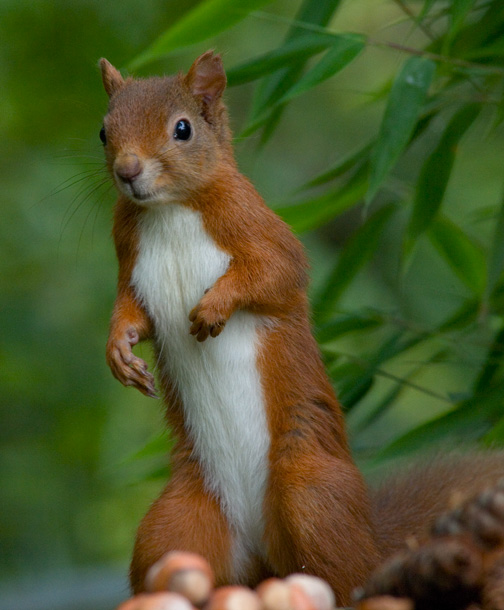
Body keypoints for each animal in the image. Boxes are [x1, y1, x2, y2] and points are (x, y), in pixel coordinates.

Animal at [98, 51, 504, 604]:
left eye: (182, 128)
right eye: (103, 131)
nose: (127, 170)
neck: (171, 209)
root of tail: (263, 553)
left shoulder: (257, 224)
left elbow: (277, 273)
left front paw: (213, 309)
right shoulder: (128, 256)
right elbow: (128, 310)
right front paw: (119, 353)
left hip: (311, 496)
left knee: (348, 572)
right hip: (177, 523)